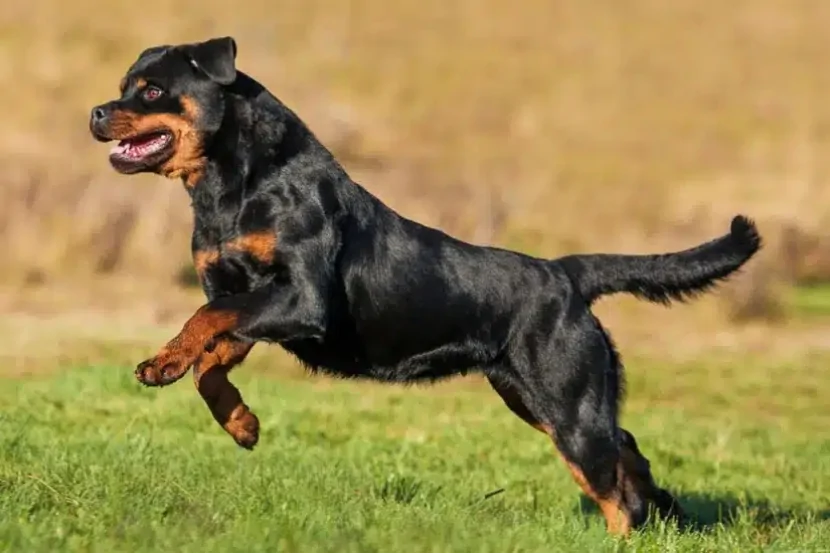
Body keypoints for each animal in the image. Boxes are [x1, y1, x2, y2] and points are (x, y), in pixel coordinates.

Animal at [88, 35, 764, 536]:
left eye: (152, 90)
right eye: (123, 87)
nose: (95, 112)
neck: (236, 186)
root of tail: (565, 272)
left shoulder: (302, 300)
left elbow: (201, 327)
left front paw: (161, 364)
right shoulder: (242, 297)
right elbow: (211, 363)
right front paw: (241, 424)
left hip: (565, 400)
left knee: (611, 488)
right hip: (538, 396)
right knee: (625, 448)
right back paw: (663, 504)